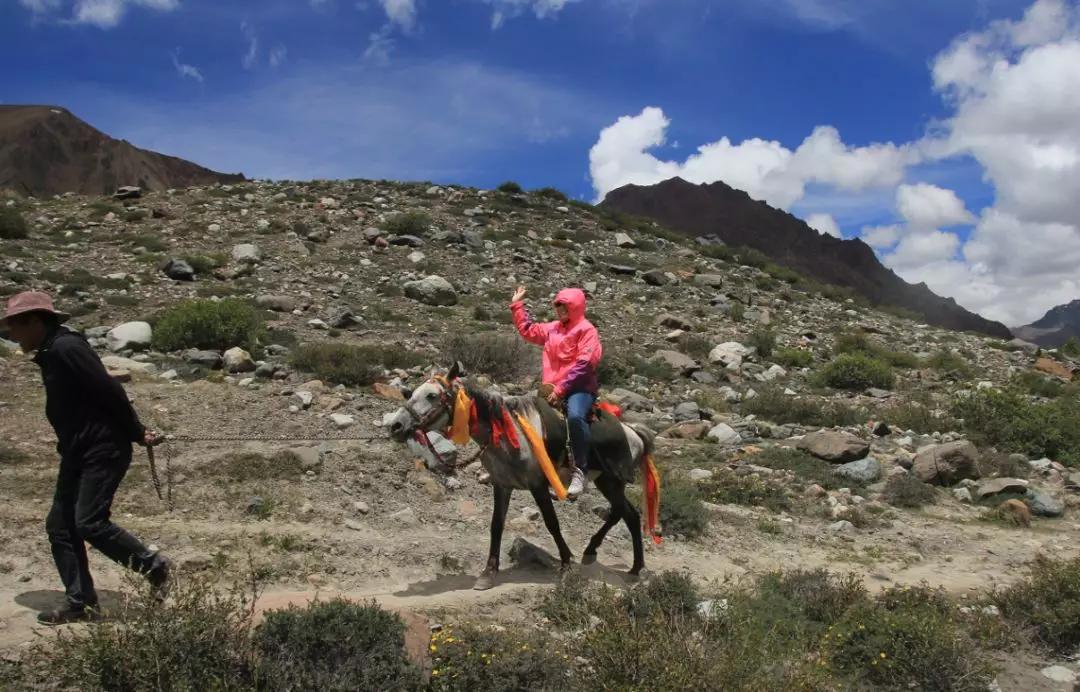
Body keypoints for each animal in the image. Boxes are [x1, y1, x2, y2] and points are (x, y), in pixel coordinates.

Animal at [388, 362, 656, 587]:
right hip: (604, 481)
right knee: (628, 515)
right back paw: (629, 566)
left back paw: (606, 557)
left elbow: (552, 523)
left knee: (623, 512)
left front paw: (566, 563)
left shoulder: (538, 485)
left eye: (432, 395)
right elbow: (496, 525)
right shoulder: (502, 485)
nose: (396, 426)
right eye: (411, 393)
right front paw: (489, 572)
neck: (508, 434)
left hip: (612, 480)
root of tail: (633, 432)